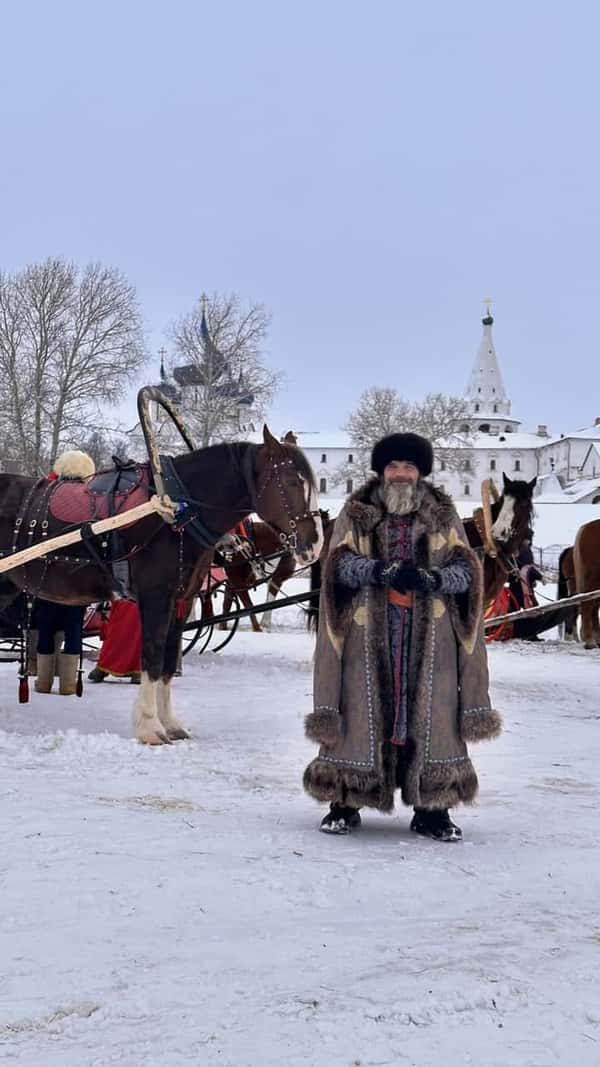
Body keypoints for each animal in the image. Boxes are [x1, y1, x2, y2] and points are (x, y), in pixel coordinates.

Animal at [0, 424, 322, 742]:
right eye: (292, 482)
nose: (314, 544)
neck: (177, 512)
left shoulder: (182, 600)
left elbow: (168, 660)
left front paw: (170, 723)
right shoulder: (156, 598)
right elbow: (153, 657)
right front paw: (149, 726)